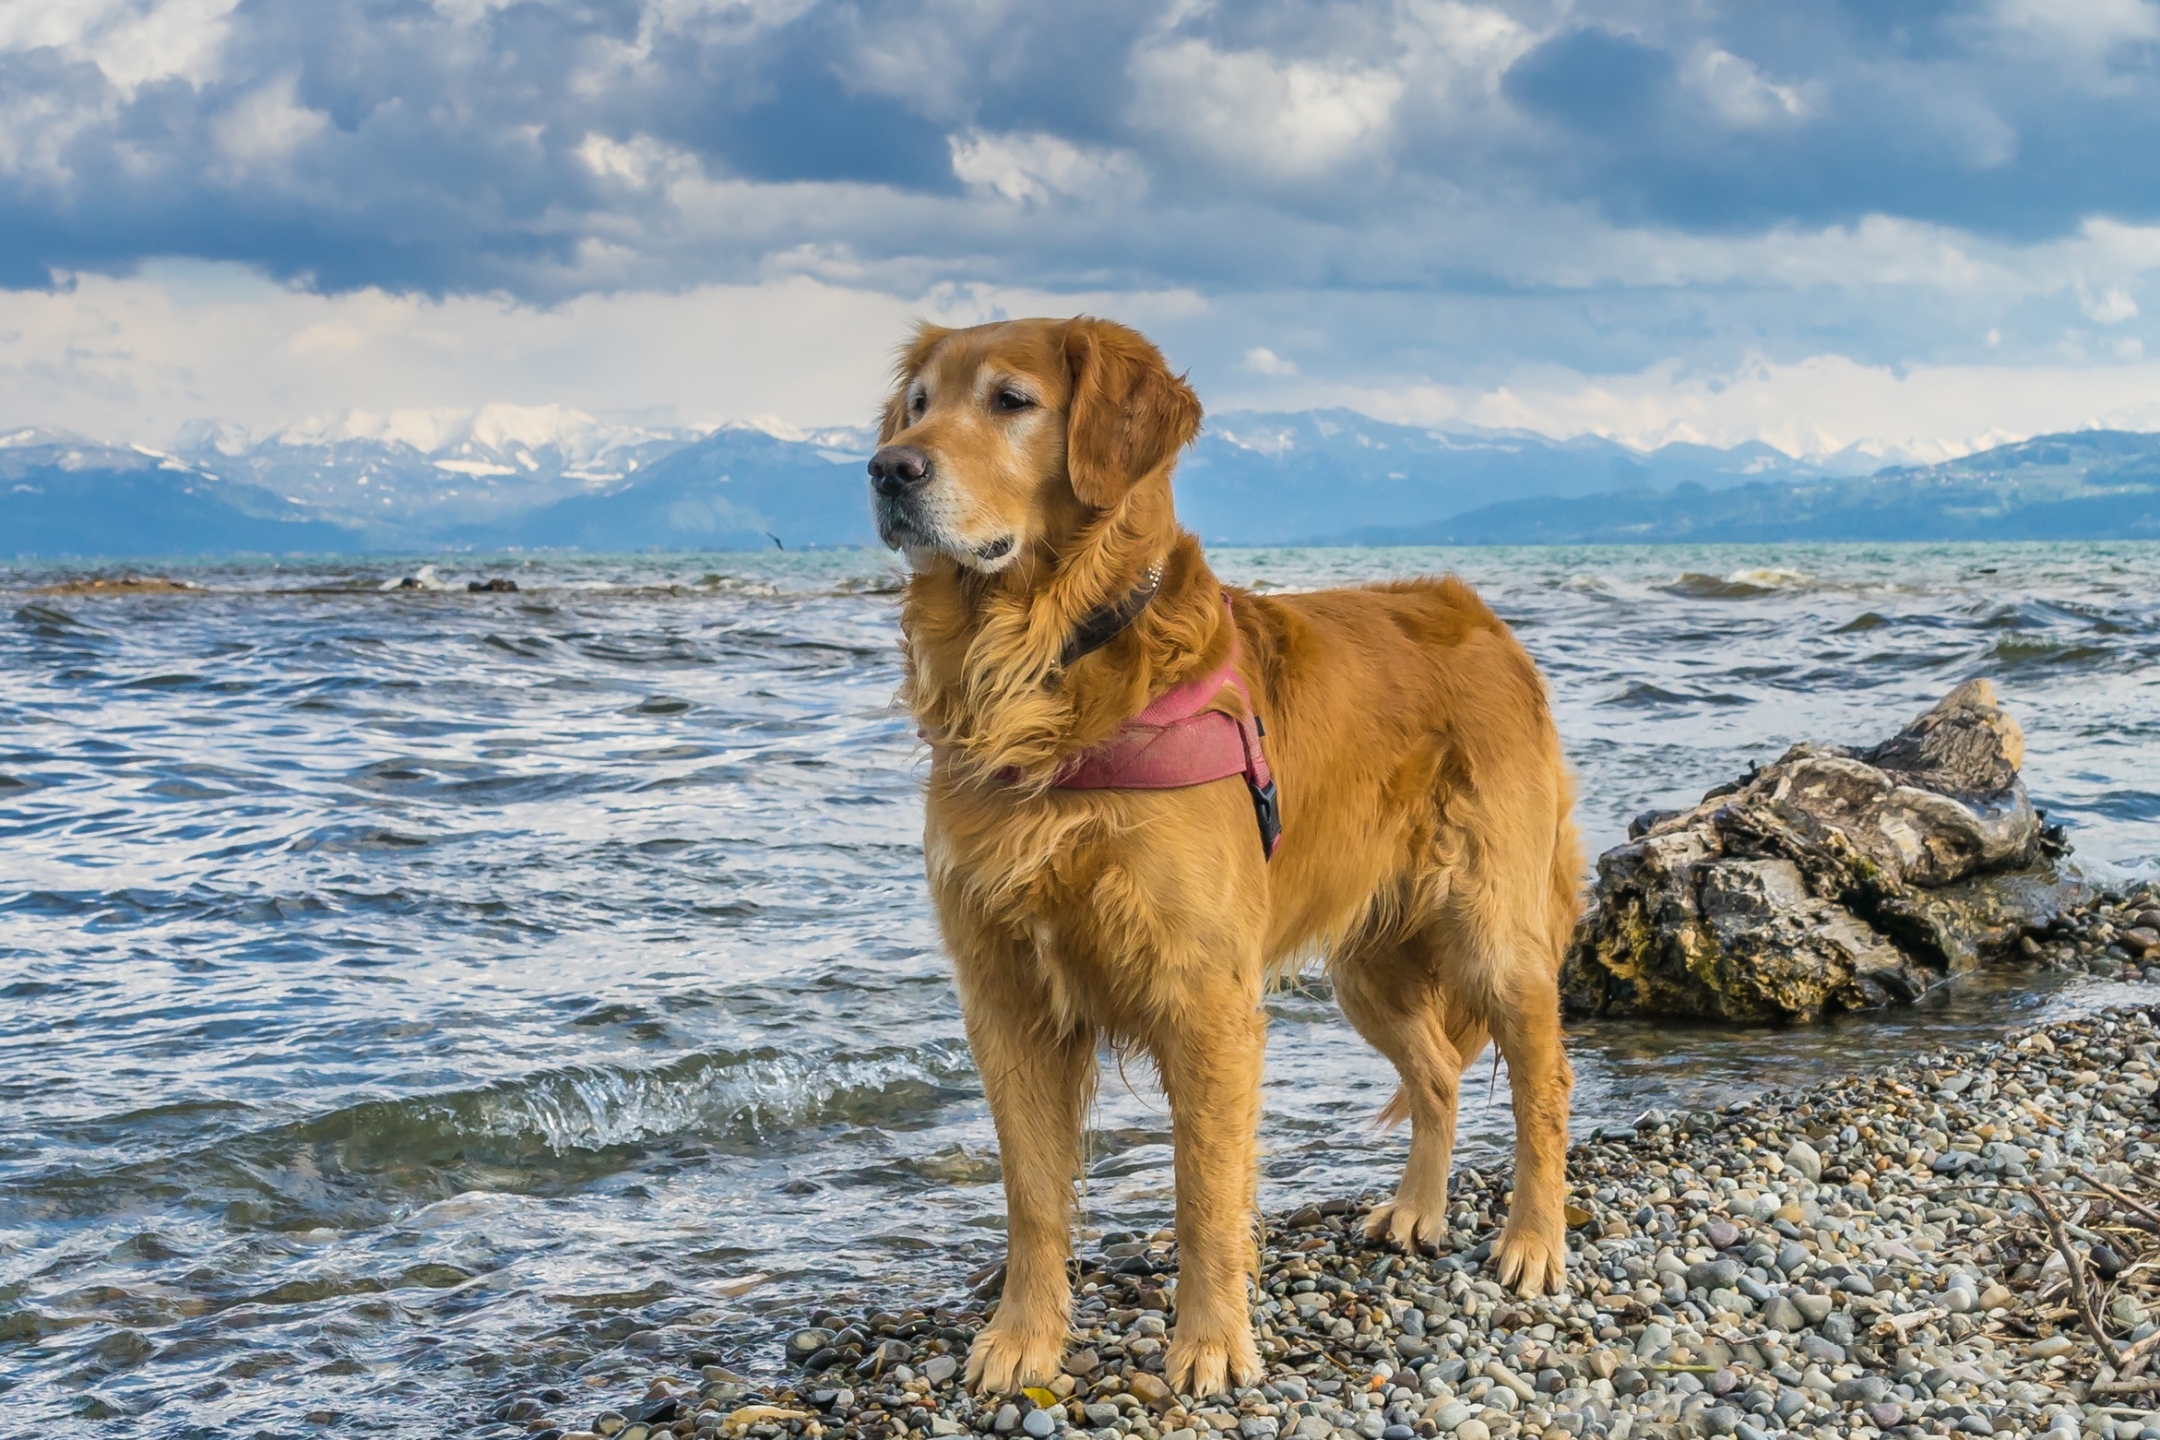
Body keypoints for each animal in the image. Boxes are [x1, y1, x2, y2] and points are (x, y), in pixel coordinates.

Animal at [864, 313, 1589, 1398]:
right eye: (917, 405)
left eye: (1011, 401)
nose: (887, 469)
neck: (1049, 665)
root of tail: (1483, 618)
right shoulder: (1005, 995)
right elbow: (1031, 1193)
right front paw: (1023, 1339)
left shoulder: (1204, 995)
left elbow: (1204, 1192)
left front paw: (1208, 1343)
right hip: (1365, 968)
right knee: (1437, 1075)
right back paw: (1418, 1210)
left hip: (1492, 934)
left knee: (1545, 1083)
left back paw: (1534, 1242)